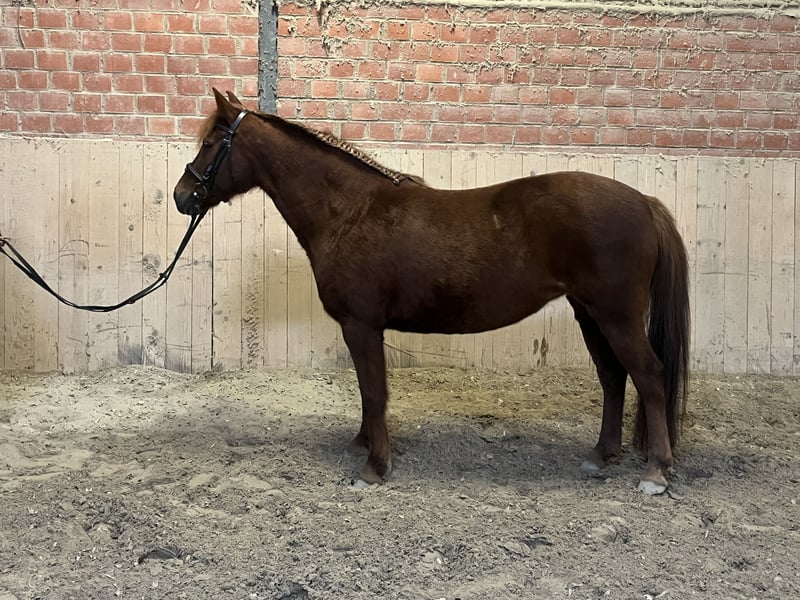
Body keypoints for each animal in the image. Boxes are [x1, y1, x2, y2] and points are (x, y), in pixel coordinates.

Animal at [173, 89, 690, 495]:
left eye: (213, 143)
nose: (182, 196)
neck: (351, 213)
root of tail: (644, 202)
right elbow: (367, 392)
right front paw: (363, 444)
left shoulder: (361, 326)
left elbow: (374, 391)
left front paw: (375, 466)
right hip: (590, 314)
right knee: (613, 377)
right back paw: (601, 455)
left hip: (617, 317)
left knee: (648, 376)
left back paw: (655, 472)